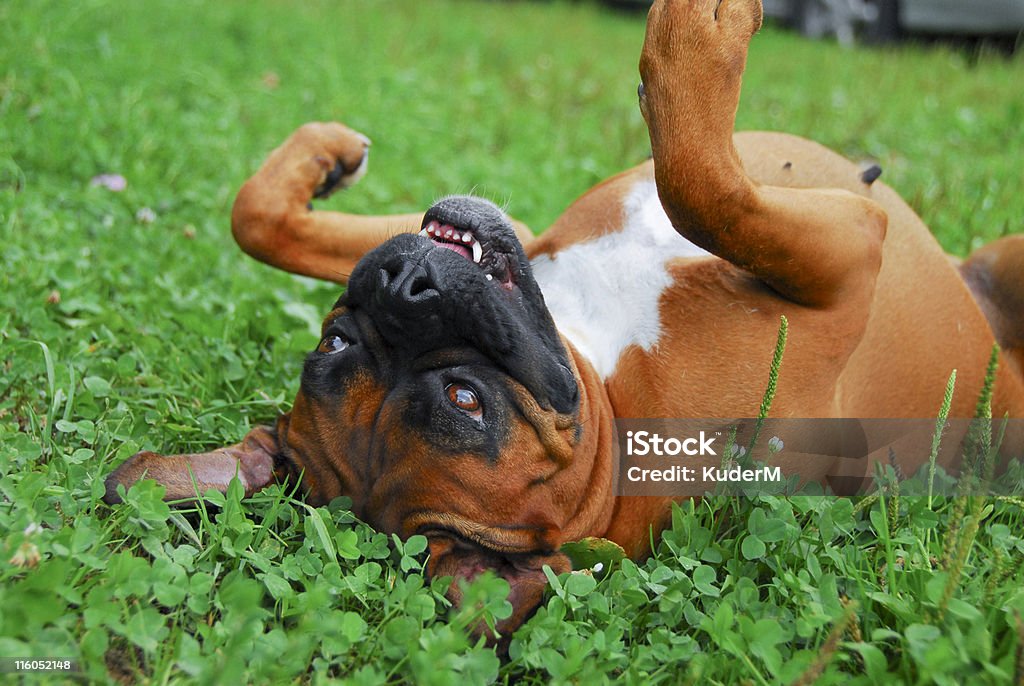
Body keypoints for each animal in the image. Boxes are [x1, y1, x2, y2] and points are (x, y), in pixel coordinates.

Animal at [105, 0, 1024, 638]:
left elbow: (257, 218)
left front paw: (320, 159)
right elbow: (703, 186)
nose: (406, 284)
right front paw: (701, 38)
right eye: (468, 402)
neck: (609, 396)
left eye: (333, 343)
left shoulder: (524, 237)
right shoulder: (845, 263)